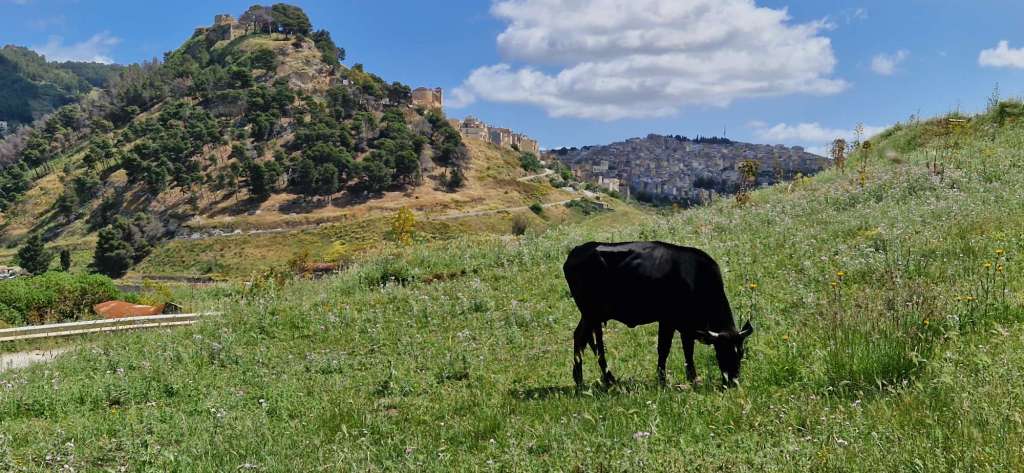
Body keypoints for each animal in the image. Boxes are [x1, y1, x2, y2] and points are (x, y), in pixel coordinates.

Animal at [563, 241, 753, 387]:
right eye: (723, 351)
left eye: (741, 353)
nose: (733, 382)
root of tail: (578, 249)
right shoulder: (668, 320)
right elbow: (664, 349)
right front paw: (663, 381)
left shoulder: (687, 325)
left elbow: (688, 350)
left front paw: (692, 378)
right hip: (592, 313)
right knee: (591, 341)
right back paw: (602, 379)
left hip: (590, 315)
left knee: (581, 337)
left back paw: (583, 379)